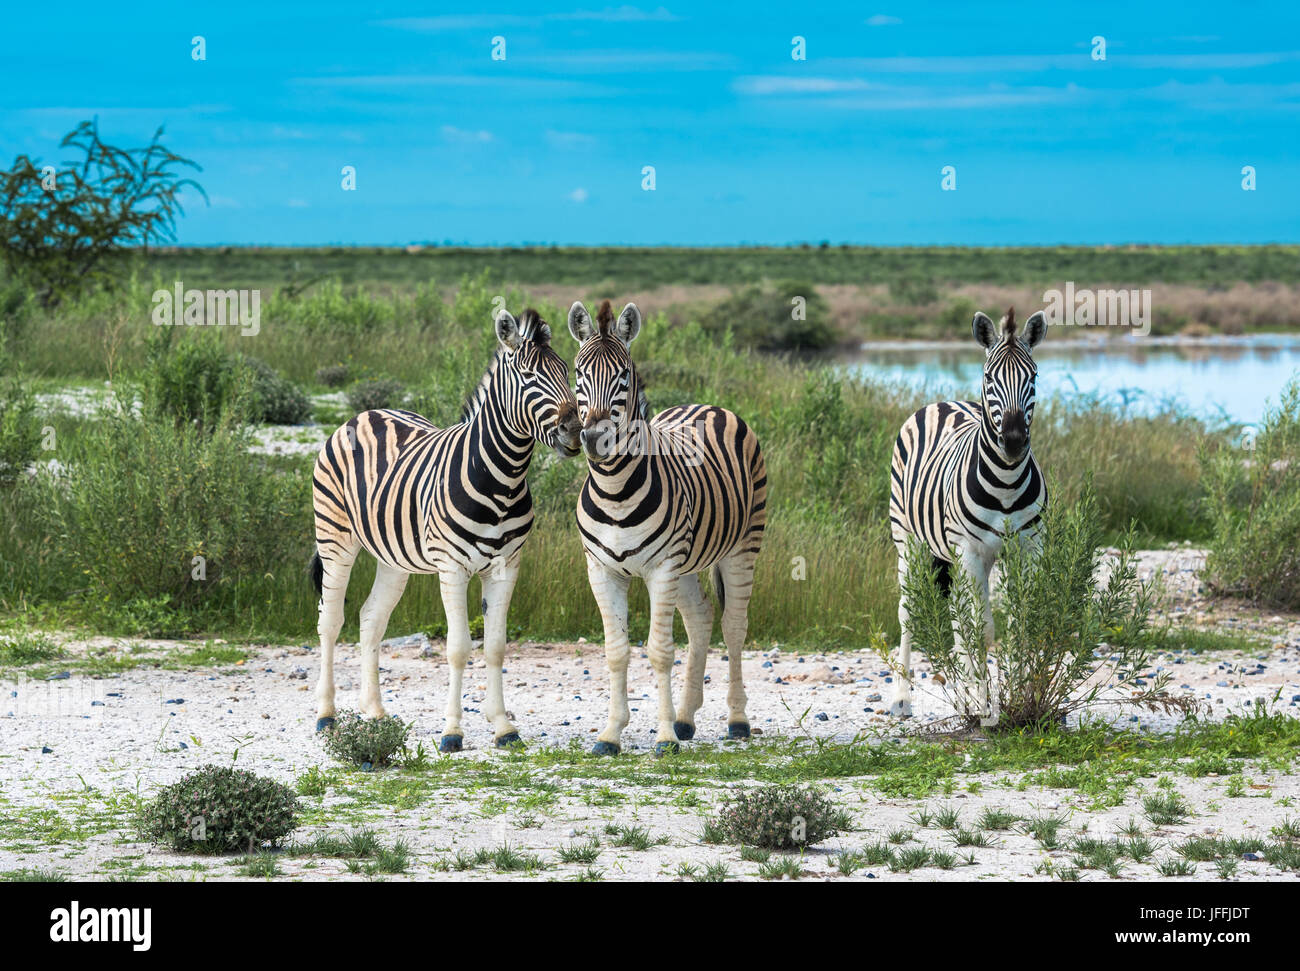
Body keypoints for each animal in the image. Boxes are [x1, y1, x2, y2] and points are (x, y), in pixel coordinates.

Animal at [308, 305, 579, 753]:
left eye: (567, 371)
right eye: (528, 376)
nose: (575, 430)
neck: (503, 478)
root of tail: (366, 413)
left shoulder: (507, 567)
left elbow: (496, 647)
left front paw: (504, 727)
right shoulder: (452, 568)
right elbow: (457, 648)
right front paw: (452, 732)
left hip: (393, 557)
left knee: (370, 617)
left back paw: (375, 712)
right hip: (335, 537)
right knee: (330, 620)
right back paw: (326, 716)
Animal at [566, 300, 764, 753]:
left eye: (623, 375)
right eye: (579, 372)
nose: (595, 439)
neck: (615, 491)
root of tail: (710, 406)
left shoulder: (662, 568)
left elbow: (658, 651)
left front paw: (663, 738)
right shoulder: (600, 570)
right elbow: (616, 651)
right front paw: (611, 734)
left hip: (743, 545)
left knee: (734, 626)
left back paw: (737, 721)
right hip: (688, 562)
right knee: (702, 618)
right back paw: (686, 719)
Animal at [889, 308, 1050, 727]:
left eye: (1034, 376)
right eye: (990, 377)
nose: (1014, 441)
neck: (1006, 482)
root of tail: (945, 401)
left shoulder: (1026, 548)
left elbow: (1019, 622)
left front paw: (1018, 695)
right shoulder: (970, 550)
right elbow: (982, 630)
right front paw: (986, 706)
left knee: (957, 616)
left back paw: (962, 696)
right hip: (908, 540)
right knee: (909, 611)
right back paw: (903, 699)